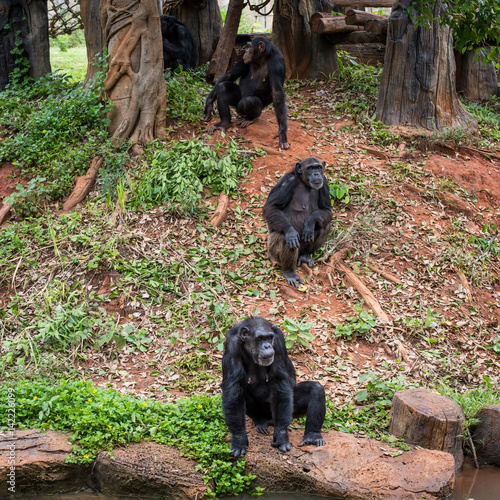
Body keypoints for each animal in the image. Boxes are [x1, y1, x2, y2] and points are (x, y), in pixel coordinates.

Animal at [222, 316, 324, 458]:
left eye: (270, 337)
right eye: (260, 338)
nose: (267, 346)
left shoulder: (279, 341)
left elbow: (279, 381)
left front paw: (281, 435)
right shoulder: (232, 346)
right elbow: (234, 387)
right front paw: (238, 438)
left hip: (291, 410)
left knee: (316, 390)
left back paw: (312, 436)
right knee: (243, 392)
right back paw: (261, 422)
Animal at [262, 156, 332, 290]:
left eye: (318, 167)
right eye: (310, 168)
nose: (316, 173)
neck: (304, 183)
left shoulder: (324, 184)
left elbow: (326, 210)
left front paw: (309, 223)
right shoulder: (287, 181)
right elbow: (272, 207)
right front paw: (291, 232)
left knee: (324, 227)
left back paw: (305, 255)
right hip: (272, 250)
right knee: (285, 239)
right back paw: (289, 272)